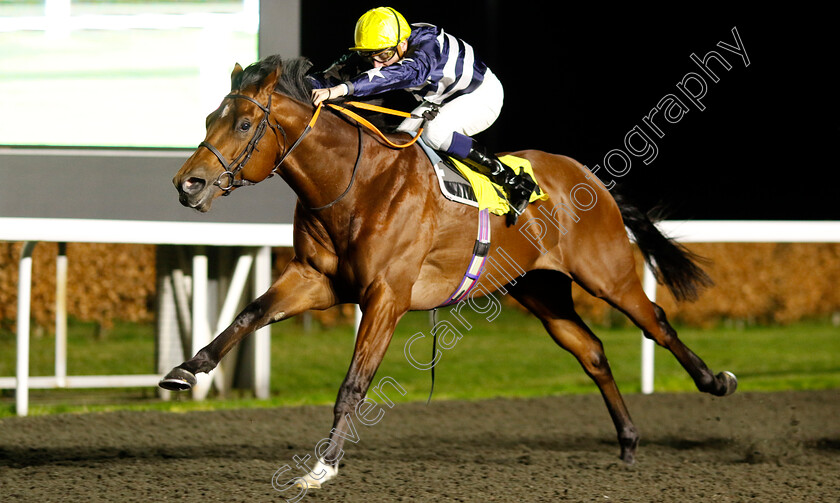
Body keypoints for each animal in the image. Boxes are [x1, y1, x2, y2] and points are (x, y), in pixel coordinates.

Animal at [159, 56, 736, 492]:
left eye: (242, 124)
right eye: (208, 118)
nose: (188, 184)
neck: (355, 183)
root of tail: (590, 177)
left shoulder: (386, 296)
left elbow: (355, 384)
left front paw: (322, 468)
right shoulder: (314, 279)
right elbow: (250, 314)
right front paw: (186, 369)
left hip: (606, 274)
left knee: (656, 321)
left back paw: (715, 381)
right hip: (540, 290)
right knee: (591, 350)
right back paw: (628, 441)